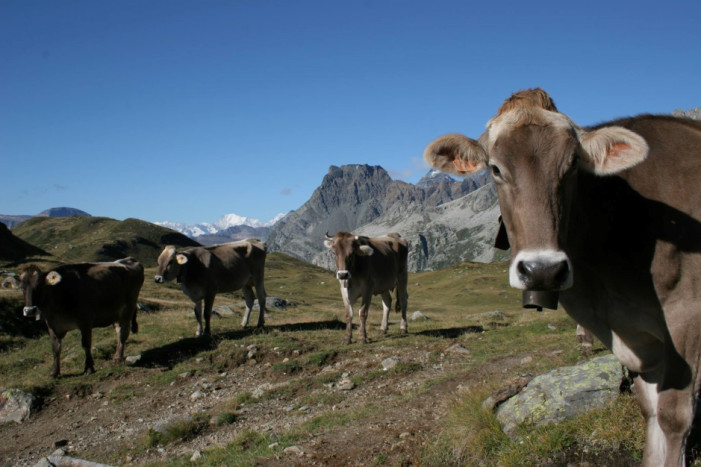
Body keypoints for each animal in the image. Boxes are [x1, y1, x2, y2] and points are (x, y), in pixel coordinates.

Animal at [422, 88, 700, 467]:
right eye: (495, 168)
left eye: (572, 165)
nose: (543, 270)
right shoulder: (640, 340)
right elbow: (650, 409)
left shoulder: (687, 315)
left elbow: (673, 416)